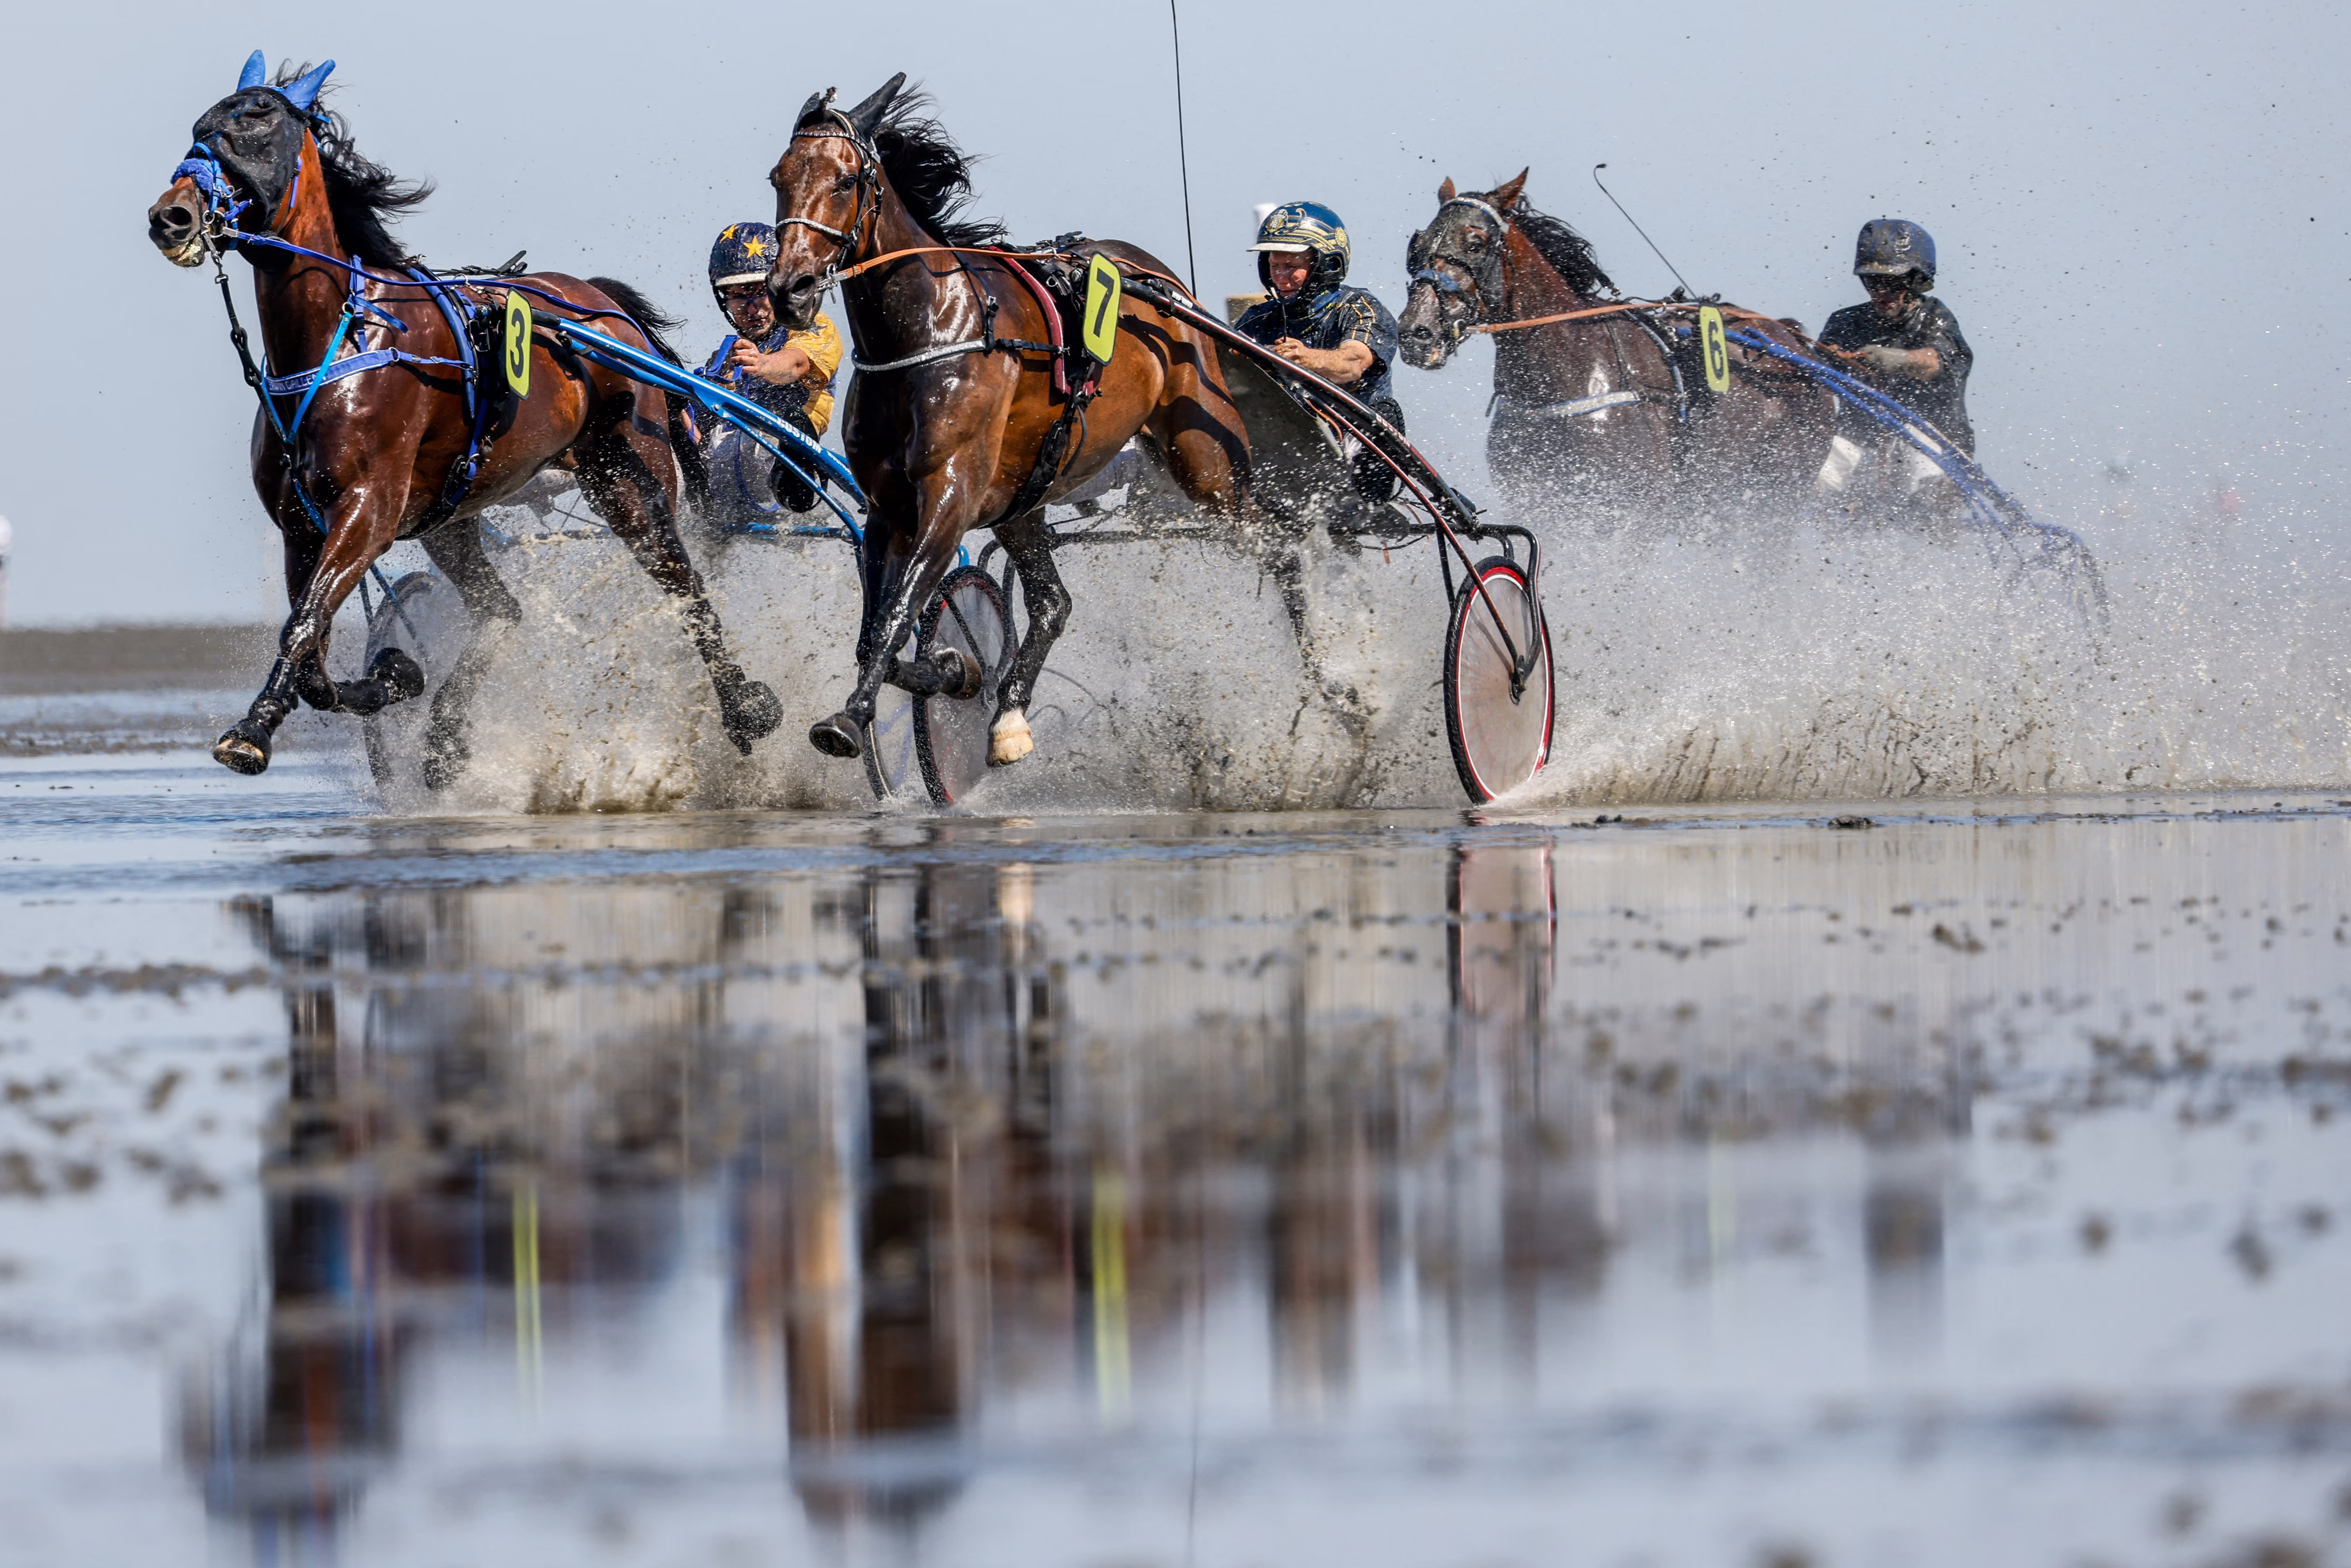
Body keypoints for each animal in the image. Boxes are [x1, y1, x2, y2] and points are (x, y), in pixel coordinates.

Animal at [146, 54, 781, 782]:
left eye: (257, 120)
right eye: (199, 128)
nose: (171, 216)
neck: (342, 337)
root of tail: (605, 309)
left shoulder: (367, 507)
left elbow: (304, 624)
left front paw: (253, 729)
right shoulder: (301, 526)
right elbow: (311, 648)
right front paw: (391, 677)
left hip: (627, 477)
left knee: (685, 587)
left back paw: (745, 707)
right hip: (451, 520)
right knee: (503, 612)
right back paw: (445, 734)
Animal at [762, 75, 1260, 769]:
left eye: (844, 180)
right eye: (778, 176)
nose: (791, 288)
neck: (925, 334)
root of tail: (1158, 279)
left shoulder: (950, 494)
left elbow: (897, 612)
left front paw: (850, 717)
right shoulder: (889, 505)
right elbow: (876, 632)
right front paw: (954, 671)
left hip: (1205, 457)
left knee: (1276, 544)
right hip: (1028, 491)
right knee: (1053, 603)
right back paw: (1010, 717)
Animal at [1397, 171, 1835, 529]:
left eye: (1476, 243)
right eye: (1418, 245)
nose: (1416, 333)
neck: (1565, 374)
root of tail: (1794, 343)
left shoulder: (1633, 512)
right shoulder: (1537, 500)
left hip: (1774, 495)